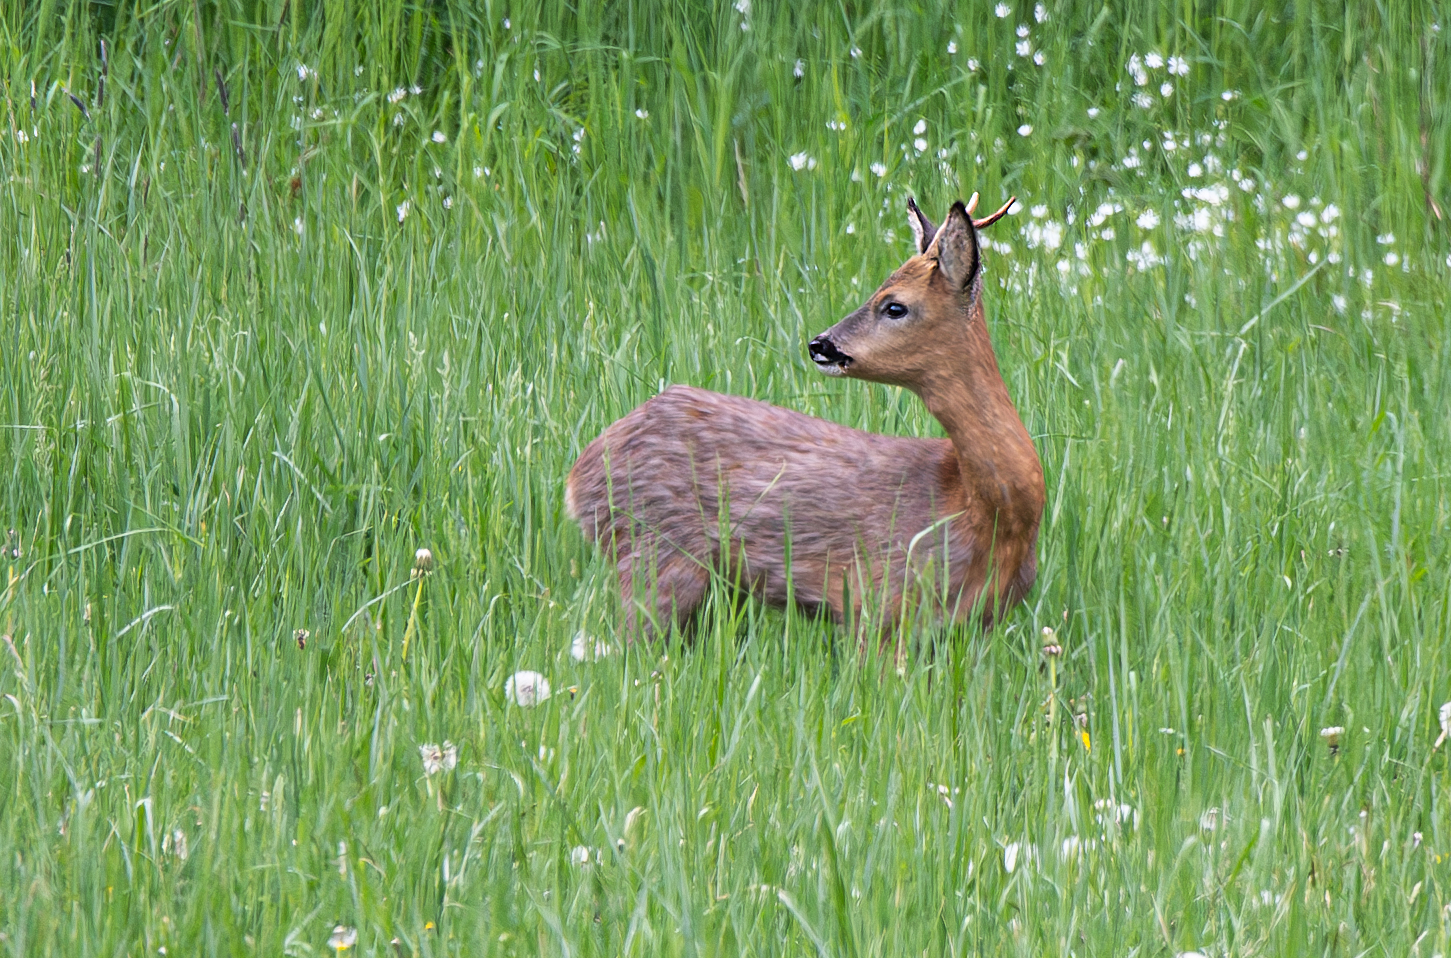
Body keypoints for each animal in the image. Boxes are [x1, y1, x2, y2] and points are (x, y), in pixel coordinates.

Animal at [562, 193, 1044, 644]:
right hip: (654, 555)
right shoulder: (878, 601)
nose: (820, 344)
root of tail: (578, 476)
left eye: (894, 306)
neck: (980, 510)